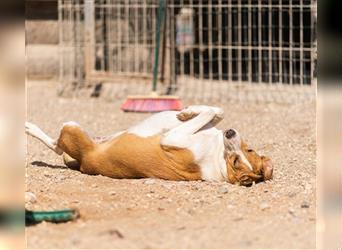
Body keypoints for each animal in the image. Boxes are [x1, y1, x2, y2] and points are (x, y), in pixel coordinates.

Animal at [26, 104, 272, 186]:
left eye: (236, 161)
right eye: (249, 150)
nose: (230, 133)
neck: (218, 156)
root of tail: (85, 163)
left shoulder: (171, 139)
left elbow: (210, 112)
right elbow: (216, 112)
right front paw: (187, 111)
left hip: (71, 127)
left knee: (56, 145)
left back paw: (29, 127)